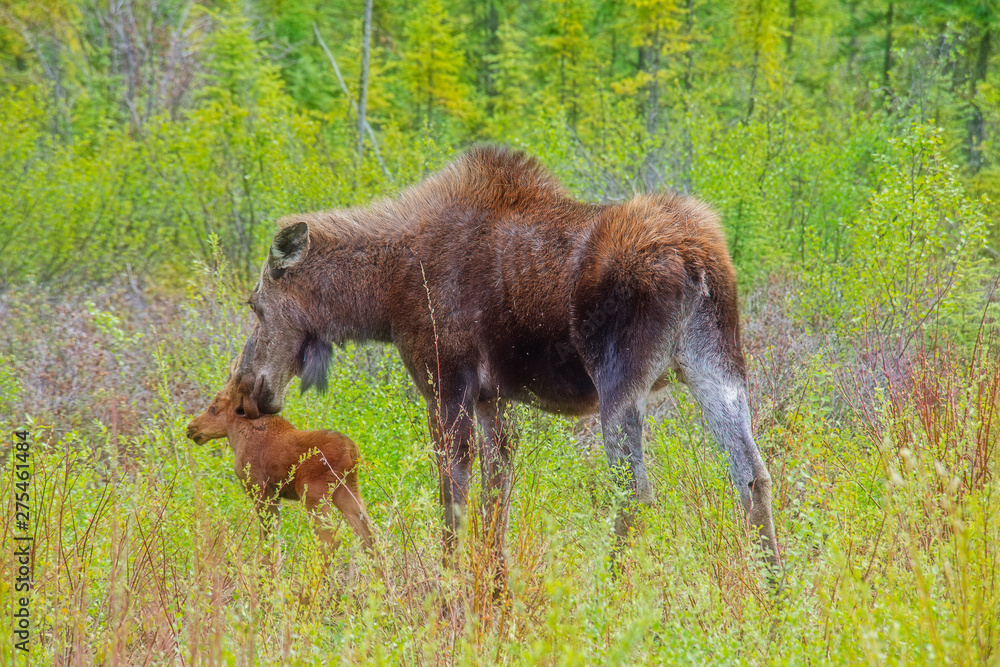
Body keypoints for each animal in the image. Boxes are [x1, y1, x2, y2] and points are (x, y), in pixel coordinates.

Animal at [187, 386, 376, 552]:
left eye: (213, 408)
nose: (191, 428)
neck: (237, 437)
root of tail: (353, 452)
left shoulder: (262, 490)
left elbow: (268, 541)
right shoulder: (275, 495)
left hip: (314, 493)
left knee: (330, 541)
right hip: (346, 489)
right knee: (370, 537)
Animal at [232, 146, 780, 584]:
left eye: (255, 304)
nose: (246, 387)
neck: (382, 299)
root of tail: (697, 263)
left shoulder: (445, 381)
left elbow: (453, 495)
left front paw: (451, 585)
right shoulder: (493, 397)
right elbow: (497, 494)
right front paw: (495, 586)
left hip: (620, 381)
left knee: (636, 492)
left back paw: (611, 594)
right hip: (717, 367)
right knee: (751, 473)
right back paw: (773, 593)